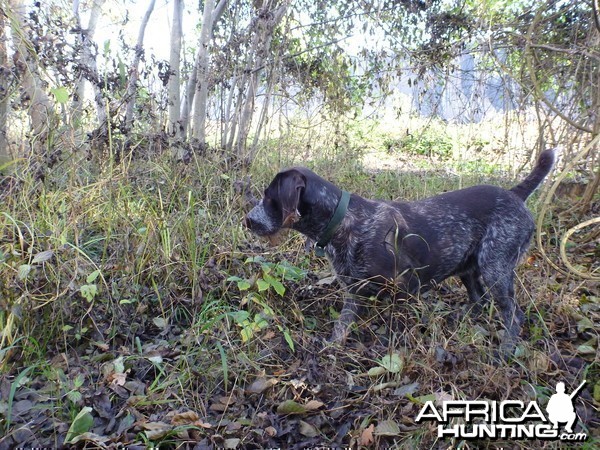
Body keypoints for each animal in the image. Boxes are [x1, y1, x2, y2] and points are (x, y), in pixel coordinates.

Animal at [245, 149, 556, 354]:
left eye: (269, 197)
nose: (247, 221)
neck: (345, 220)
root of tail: (515, 195)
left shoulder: (407, 288)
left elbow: (395, 330)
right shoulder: (353, 292)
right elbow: (341, 325)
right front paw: (332, 348)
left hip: (495, 268)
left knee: (513, 315)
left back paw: (505, 350)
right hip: (469, 267)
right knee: (478, 300)